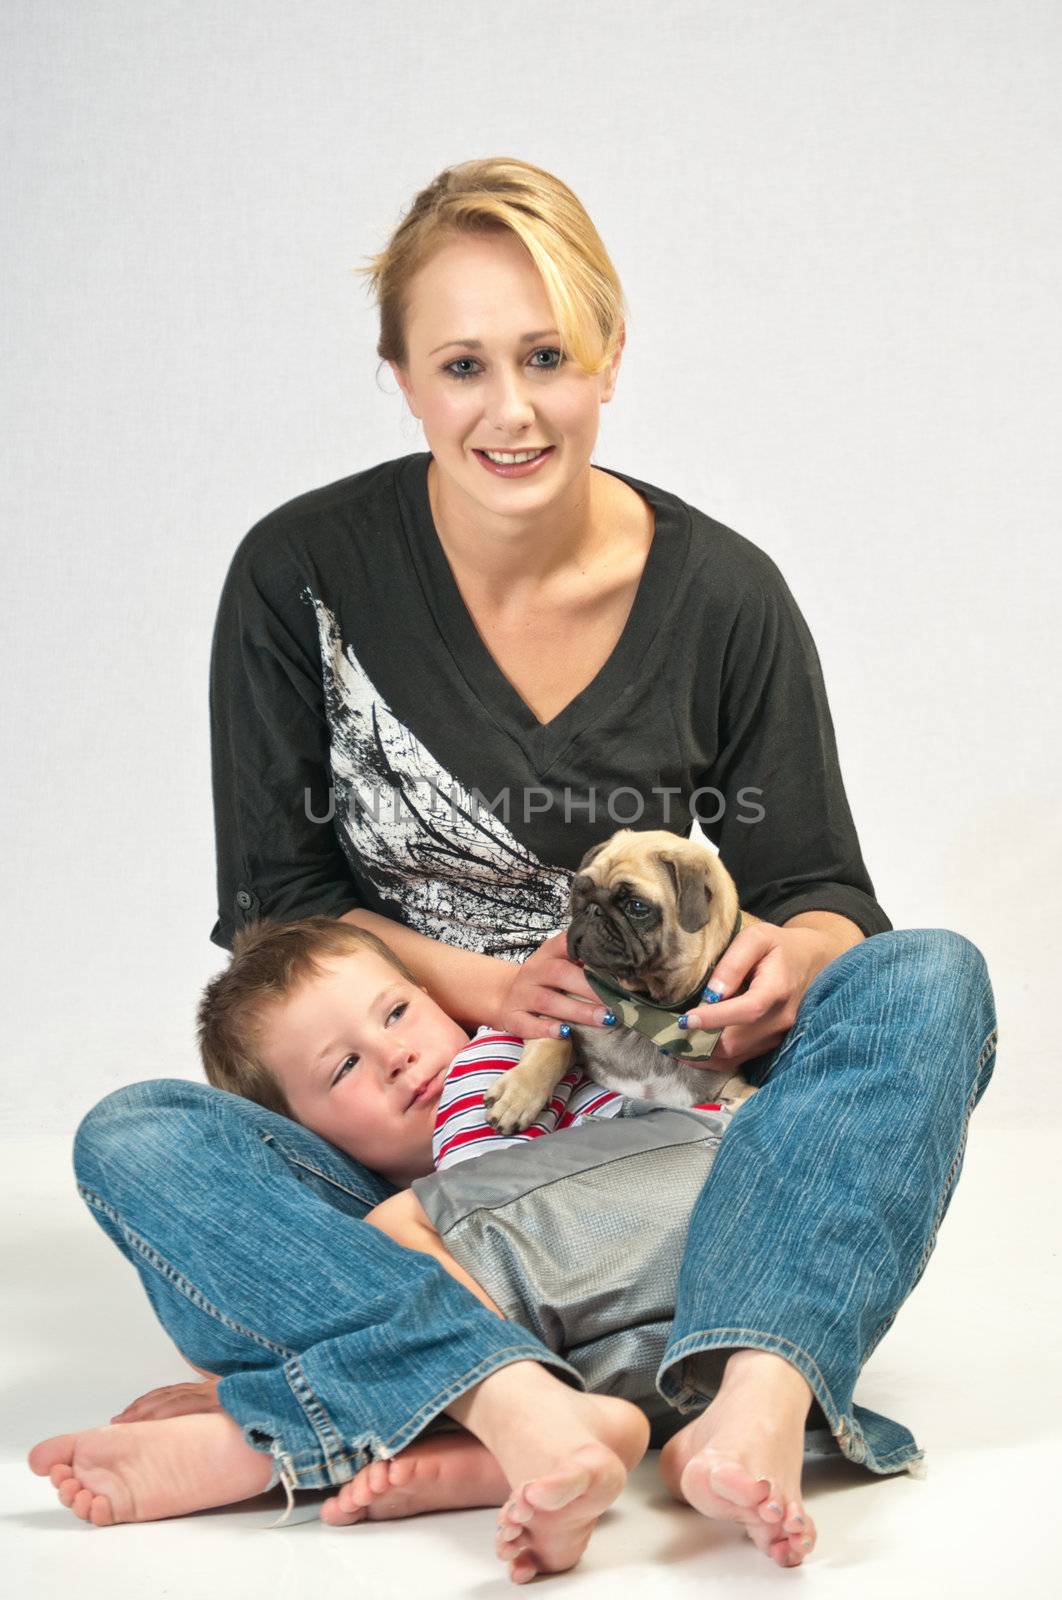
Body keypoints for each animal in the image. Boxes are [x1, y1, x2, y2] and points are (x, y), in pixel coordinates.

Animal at [486, 832, 758, 1132]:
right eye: (579, 892)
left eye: (637, 907)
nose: (593, 910)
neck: (648, 1010)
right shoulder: (559, 1016)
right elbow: (555, 1043)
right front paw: (519, 1094)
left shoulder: (724, 1081)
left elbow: (749, 1092)